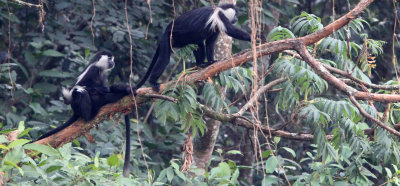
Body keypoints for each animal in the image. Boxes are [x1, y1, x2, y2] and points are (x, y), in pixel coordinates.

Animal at [37, 49, 133, 177]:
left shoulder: (104, 75)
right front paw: (100, 89)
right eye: (110, 59)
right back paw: (89, 113)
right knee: (81, 92)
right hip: (78, 104)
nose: (113, 63)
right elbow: (84, 85)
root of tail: (75, 111)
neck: (99, 68)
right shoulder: (93, 70)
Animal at [134, 2, 266, 92]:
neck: (220, 10)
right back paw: (153, 82)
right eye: (235, 15)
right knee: (164, 59)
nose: (237, 18)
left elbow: (209, 43)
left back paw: (201, 65)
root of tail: (166, 30)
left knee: (198, 44)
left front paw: (212, 61)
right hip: (169, 39)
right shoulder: (219, 17)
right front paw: (257, 37)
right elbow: (231, 31)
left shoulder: (216, 26)